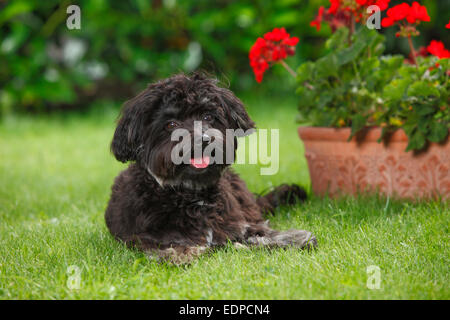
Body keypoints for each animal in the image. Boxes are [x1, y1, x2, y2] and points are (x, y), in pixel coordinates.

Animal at [105, 74, 316, 264]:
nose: (203, 140)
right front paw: (180, 253)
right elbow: (168, 243)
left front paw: (292, 239)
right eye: (171, 124)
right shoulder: (145, 234)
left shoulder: (235, 223)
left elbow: (258, 231)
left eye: (207, 116)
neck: (190, 194)